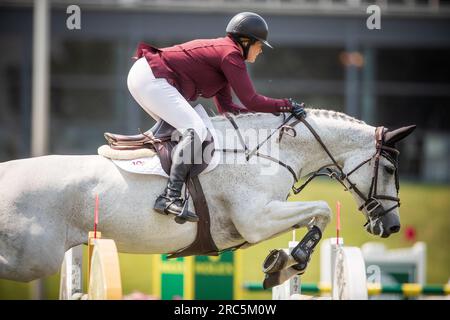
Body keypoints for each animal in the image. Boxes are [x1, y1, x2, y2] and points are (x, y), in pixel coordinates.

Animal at [0, 109, 414, 282]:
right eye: (389, 170)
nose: (392, 227)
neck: (270, 150)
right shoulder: (257, 218)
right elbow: (324, 209)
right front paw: (291, 260)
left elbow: (319, 214)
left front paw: (284, 261)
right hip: (33, 259)